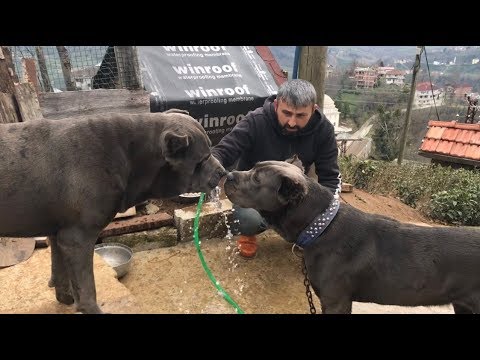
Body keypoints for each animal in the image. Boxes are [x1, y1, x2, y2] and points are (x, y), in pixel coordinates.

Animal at [0, 111, 226, 314]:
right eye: (203, 158)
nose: (223, 171)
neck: (131, 156)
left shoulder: (58, 232)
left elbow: (60, 271)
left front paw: (65, 297)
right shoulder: (77, 238)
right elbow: (87, 289)